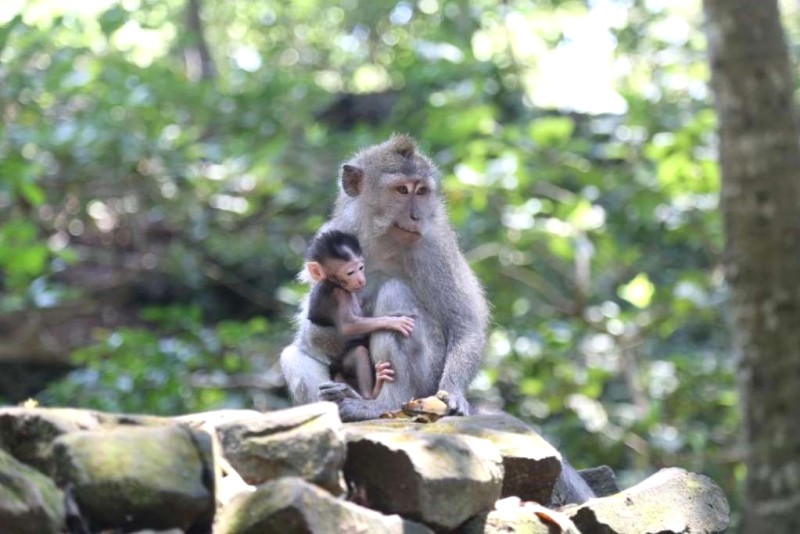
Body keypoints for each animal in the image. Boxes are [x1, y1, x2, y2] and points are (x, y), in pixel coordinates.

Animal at [306, 232, 416, 400]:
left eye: (361, 267)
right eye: (350, 272)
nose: (360, 279)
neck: (334, 283)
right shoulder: (338, 295)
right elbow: (348, 326)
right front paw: (393, 321)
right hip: (343, 363)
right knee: (359, 353)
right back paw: (371, 393)